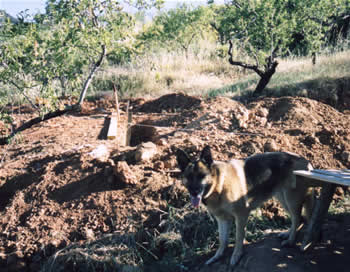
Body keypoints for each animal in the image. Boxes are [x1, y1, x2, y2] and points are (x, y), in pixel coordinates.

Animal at [176, 146, 314, 266]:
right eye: (189, 177)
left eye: (201, 176)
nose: (194, 192)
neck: (219, 185)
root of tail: (306, 161)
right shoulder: (222, 220)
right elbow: (222, 240)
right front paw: (217, 256)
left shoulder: (241, 215)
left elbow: (238, 237)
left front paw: (236, 256)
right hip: (283, 199)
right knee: (299, 219)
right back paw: (288, 234)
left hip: (291, 199)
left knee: (297, 218)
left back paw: (290, 241)